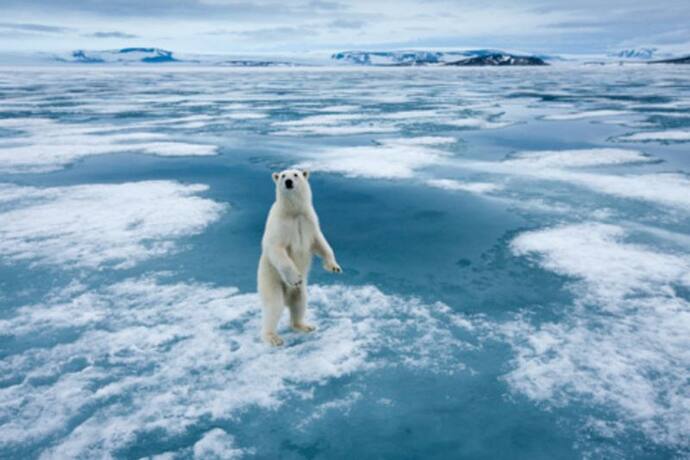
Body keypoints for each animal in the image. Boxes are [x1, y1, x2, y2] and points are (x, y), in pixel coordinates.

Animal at [256, 169, 340, 344]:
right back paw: (273, 337)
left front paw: (334, 267)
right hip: (270, 279)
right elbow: (276, 248)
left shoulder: (309, 221)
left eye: (295, 174)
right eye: (282, 175)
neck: (293, 212)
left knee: (299, 302)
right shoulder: (280, 225)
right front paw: (296, 278)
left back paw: (304, 325)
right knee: (274, 306)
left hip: (300, 292)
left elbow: (320, 242)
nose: (288, 181)